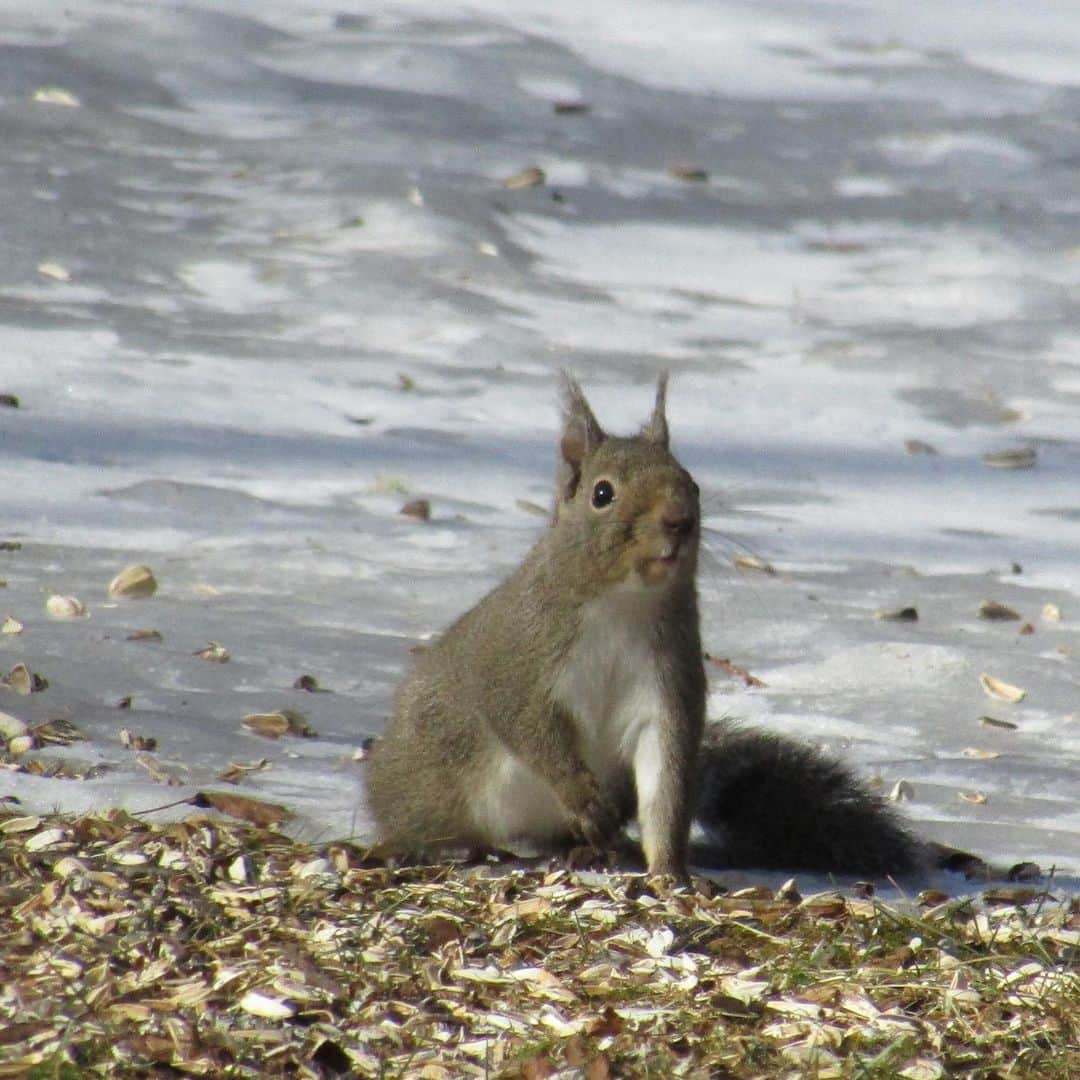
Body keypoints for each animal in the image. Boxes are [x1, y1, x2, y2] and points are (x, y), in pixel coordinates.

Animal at [367, 375, 924, 881]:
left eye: (693, 483)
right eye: (602, 493)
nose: (679, 520)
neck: (623, 604)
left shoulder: (666, 689)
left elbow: (665, 785)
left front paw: (668, 872)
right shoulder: (520, 664)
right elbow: (531, 732)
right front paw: (583, 797)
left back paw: (590, 850)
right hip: (427, 784)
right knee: (418, 823)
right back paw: (430, 848)